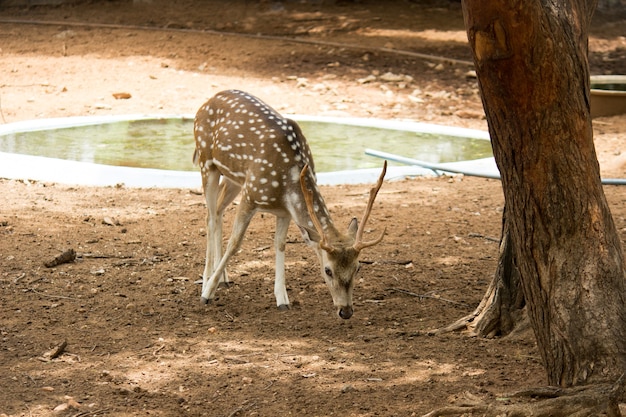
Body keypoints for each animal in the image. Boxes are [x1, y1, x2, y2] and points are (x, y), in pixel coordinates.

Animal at [193, 89, 386, 318]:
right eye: (327, 270)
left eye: (358, 267)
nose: (345, 311)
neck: (288, 181)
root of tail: (209, 100)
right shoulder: (251, 195)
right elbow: (235, 242)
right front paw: (207, 294)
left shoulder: (284, 210)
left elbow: (280, 244)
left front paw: (282, 299)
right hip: (207, 162)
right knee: (210, 216)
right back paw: (207, 279)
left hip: (234, 178)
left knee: (219, 209)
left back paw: (224, 278)